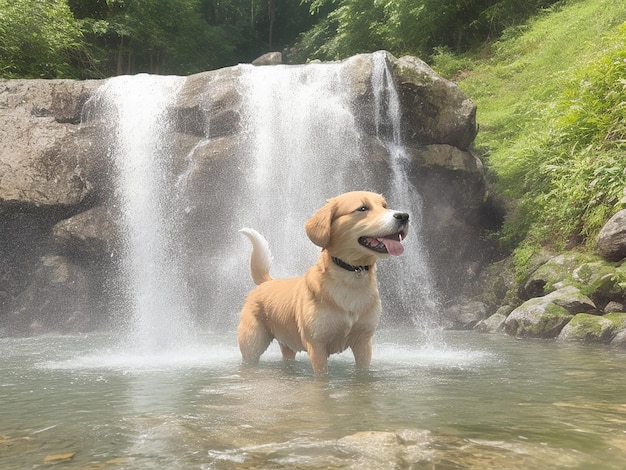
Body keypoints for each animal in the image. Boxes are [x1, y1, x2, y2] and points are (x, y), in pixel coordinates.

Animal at [236, 189, 408, 376]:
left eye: (385, 206)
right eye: (362, 208)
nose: (404, 216)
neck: (351, 275)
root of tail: (266, 282)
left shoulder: (363, 343)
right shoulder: (317, 346)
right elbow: (321, 375)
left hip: (287, 343)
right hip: (252, 345)